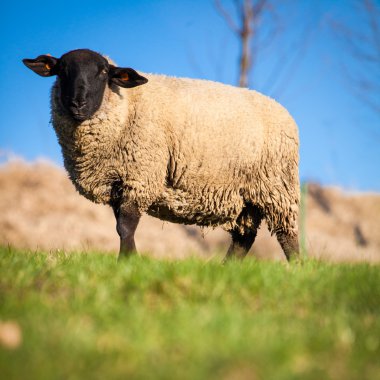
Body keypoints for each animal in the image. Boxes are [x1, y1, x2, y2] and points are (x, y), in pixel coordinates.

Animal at [23, 48, 300, 262]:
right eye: (62, 70)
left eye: (102, 72)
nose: (77, 103)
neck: (126, 106)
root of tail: (282, 109)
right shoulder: (118, 183)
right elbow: (120, 226)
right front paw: (131, 259)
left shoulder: (141, 174)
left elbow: (125, 226)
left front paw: (127, 261)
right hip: (245, 196)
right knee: (244, 238)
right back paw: (227, 269)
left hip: (278, 187)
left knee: (288, 236)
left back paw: (297, 270)